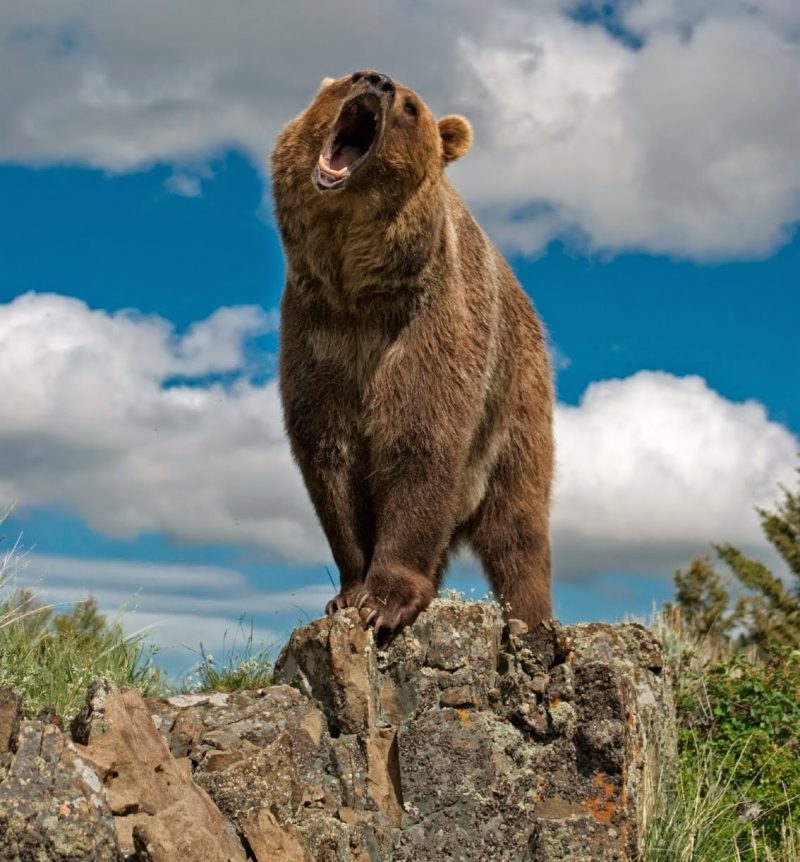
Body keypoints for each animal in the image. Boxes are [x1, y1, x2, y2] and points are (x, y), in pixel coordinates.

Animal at [272, 69, 552, 636]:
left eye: (410, 106)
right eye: (349, 78)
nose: (376, 81)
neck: (356, 287)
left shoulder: (427, 329)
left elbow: (419, 441)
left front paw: (386, 600)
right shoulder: (319, 335)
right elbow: (329, 456)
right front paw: (349, 591)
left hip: (515, 401)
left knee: (518, 524)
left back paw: (531, 621)